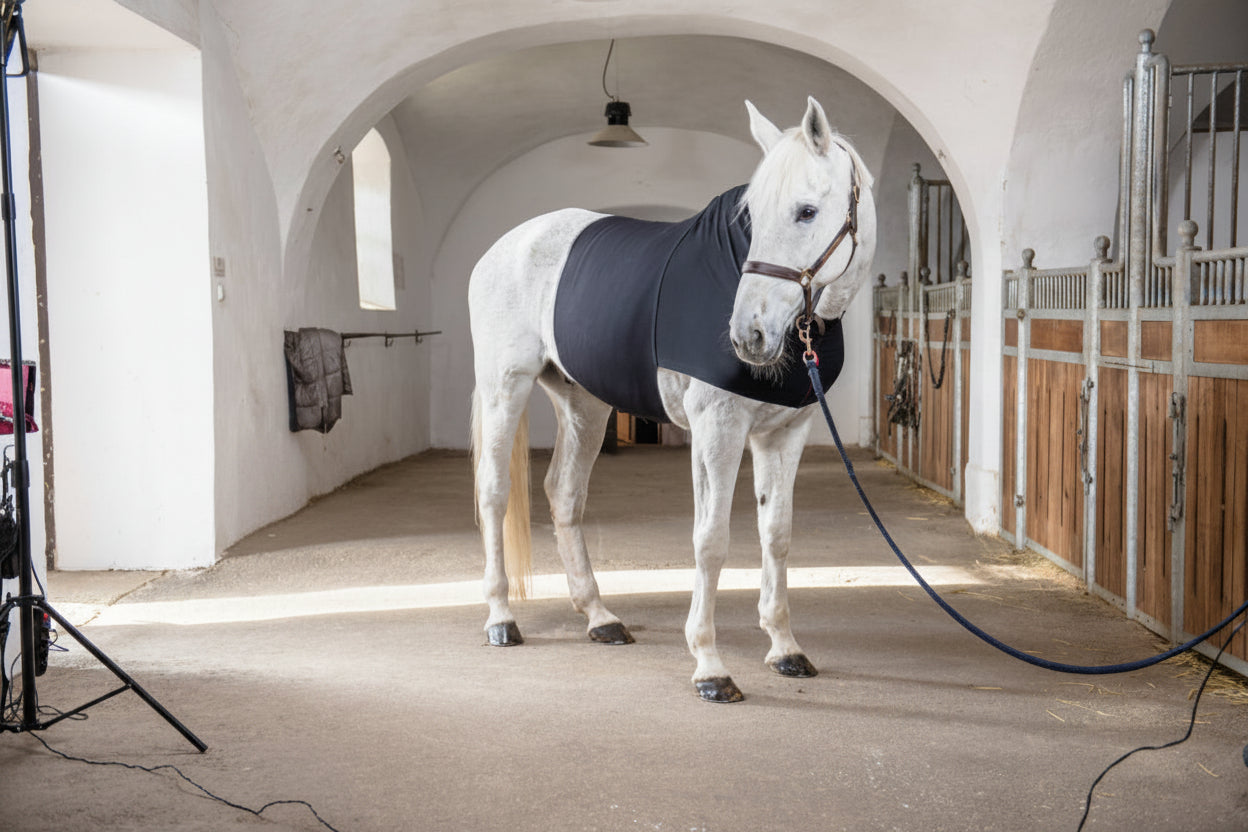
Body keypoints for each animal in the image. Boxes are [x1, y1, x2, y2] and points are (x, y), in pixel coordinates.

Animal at [468, 97, 877, 702]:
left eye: (806, 212)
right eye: (752, 216)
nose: (748, 336)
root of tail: (502, 247)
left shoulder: (785, 434)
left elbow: (776, 535)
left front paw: (785, 648)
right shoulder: (717, 429)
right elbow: (711, 541)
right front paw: (710, 666)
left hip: (584, 405)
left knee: (563, 493)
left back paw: (600, 617)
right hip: (505, 386)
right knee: (495, 494)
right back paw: (501, 617)